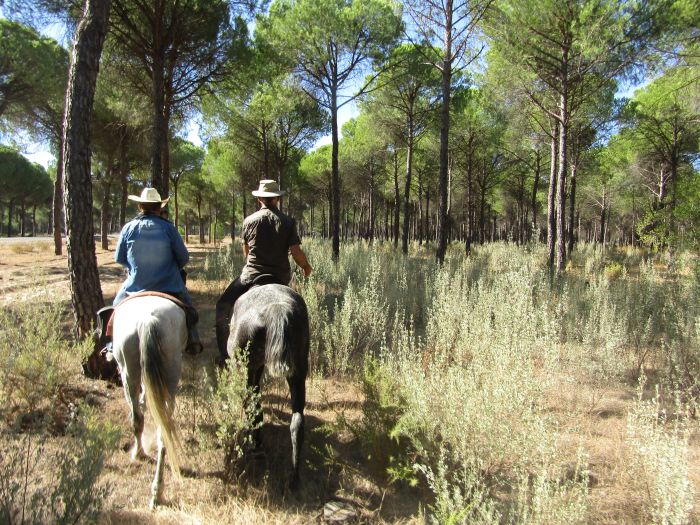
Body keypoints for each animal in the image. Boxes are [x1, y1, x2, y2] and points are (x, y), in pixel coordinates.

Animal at [111, 294, 185, 508]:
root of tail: (147, 319)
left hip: (129, 372)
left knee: (139, 418)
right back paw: (156, 491)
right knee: (161, 430)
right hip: (168, 375)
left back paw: (139, 455)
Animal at [227, 282, 308, 488]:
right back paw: (294, 479)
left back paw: (256, 447)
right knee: (297, 422)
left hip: (246, 366)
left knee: (253, 405)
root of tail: (277, 310)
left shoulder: (252, 368)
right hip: (298, 370)